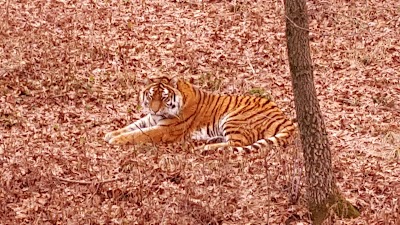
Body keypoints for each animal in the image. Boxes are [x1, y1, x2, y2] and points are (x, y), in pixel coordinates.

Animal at [104, 77, 296, 153]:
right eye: (151, 96)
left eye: (164, 97)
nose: (155, 109)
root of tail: (285, 117)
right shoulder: (151, 119)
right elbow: (132, 126)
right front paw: (110, 134)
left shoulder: (165, 130)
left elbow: (138, 134)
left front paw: (115, 140)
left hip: (233, 118)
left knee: (236, 144)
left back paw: (203, 148)